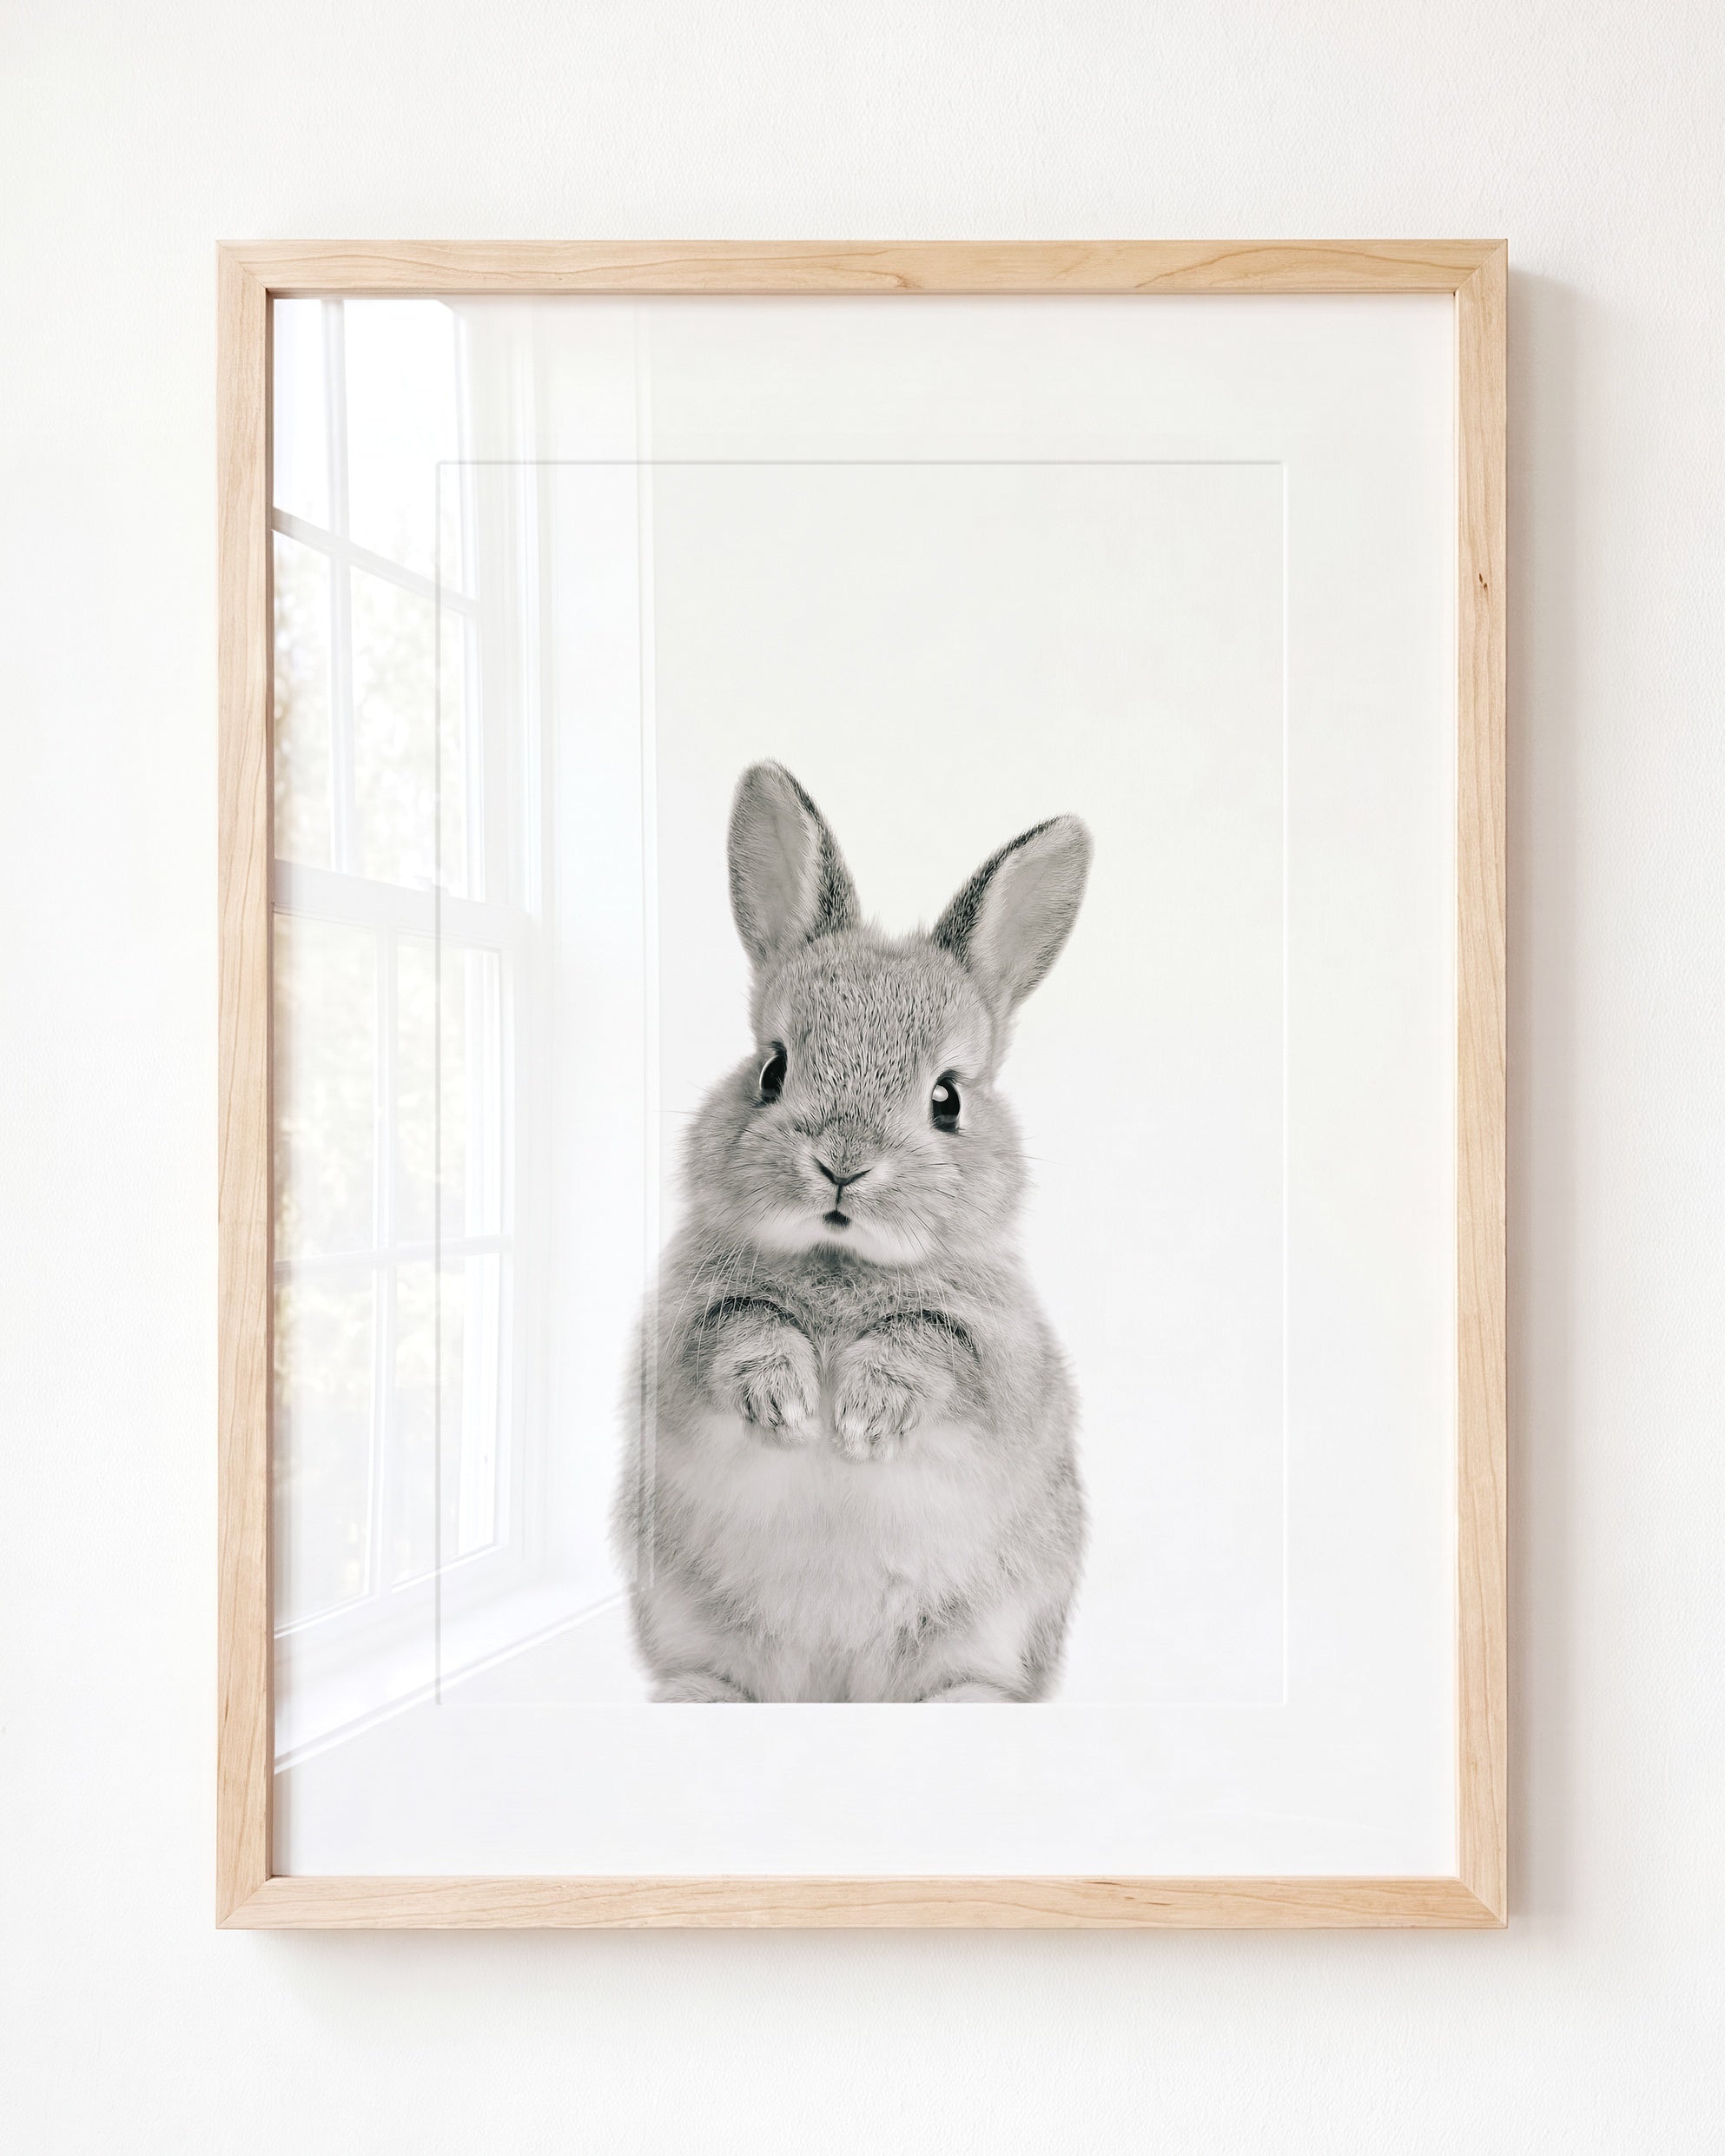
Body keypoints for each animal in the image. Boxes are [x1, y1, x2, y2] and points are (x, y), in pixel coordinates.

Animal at [615, 760, 1091, 1702]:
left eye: (947, 1098)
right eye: (772, 1068)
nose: (842, 1164)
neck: (839, 1261)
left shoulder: (1001, 1359)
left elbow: (932, 1343)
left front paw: (866, 1414)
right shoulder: (682, 1336)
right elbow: (740, 1328)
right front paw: (786, 1403)